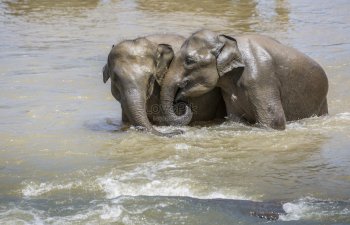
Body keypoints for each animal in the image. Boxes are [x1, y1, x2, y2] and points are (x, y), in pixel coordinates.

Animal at [161, 29, 328, 129]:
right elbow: (235, 119)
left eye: (189, 61)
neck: (226, 39)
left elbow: (274, 122)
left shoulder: (261, 77)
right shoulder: (227, 89)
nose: (181, 103)